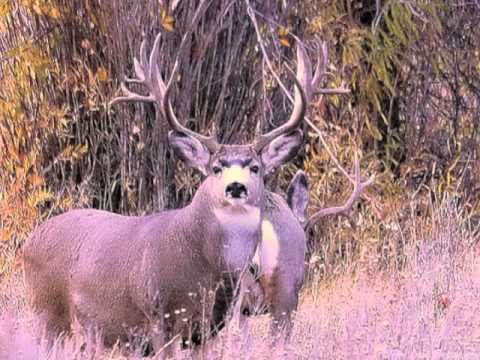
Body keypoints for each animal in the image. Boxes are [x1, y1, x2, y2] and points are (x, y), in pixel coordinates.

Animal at [22, 24, 314, 354]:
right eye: (216, 168)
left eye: (255, 167)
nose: (236, 187)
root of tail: (28, 242)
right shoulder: (157, 313)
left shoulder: (207, 328)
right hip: (48, 312)